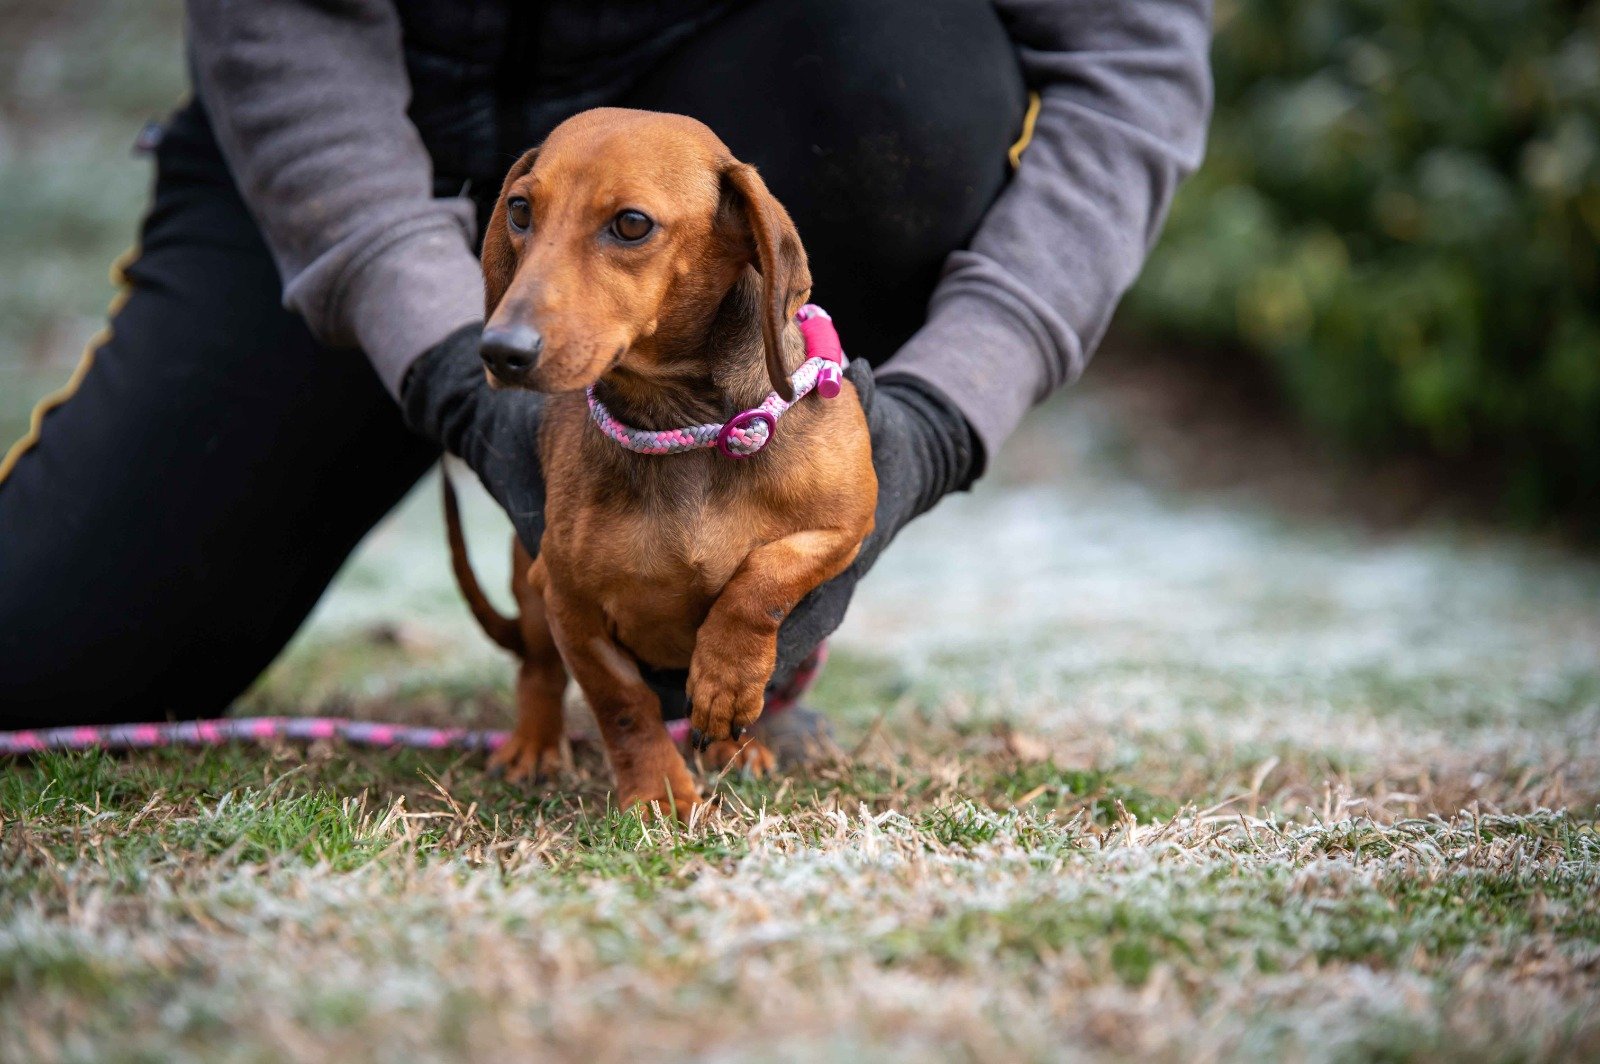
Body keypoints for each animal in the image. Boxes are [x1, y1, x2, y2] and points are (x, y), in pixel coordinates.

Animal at [445, 108, 877, 816]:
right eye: (520, 210)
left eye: (631, 224)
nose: (500, 350)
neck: (686, 429)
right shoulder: (568, 602)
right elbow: (623, 705)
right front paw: (657, 795)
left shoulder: (847, 526)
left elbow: (765, 579)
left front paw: (728, 679)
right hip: (529, 589)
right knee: (537, 670)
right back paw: (534, 744)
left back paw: (736, 746)